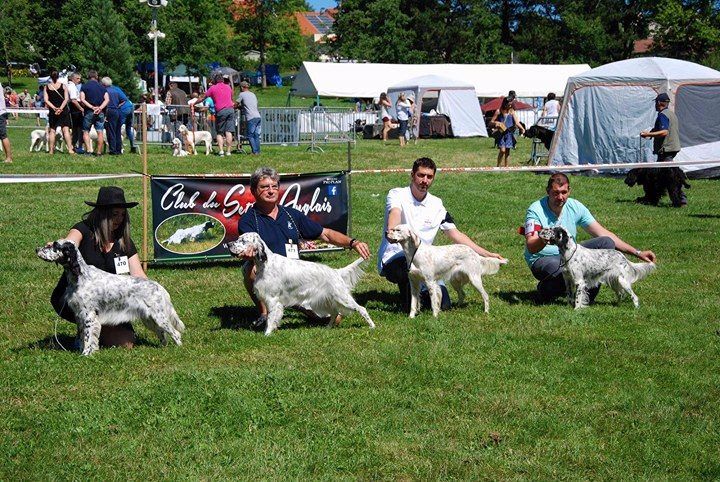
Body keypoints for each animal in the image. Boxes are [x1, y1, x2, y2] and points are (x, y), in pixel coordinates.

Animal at [36, 240, 184, 356]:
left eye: (55, 245)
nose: (36, 249)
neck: (80, 276)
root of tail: (159, 287)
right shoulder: (79, 314)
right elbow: (83, 336)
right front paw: (83, 350)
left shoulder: (89, 314)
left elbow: (88, 337)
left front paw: (86, 354)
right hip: (149, 318)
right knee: (162, 333)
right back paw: (163, 348)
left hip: (159, 316)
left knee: (175, 333)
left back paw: (178, 349)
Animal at [229, 233, 376, 336]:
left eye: (243, 240)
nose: (229, 244)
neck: (265, 264)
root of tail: (336, 271)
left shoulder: (273, 300)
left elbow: (271, 318)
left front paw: (267, 333)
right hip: (326, 300)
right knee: (335, 313)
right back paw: (328, 327)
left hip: (342, 298)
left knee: (362, 309)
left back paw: (372, 326)